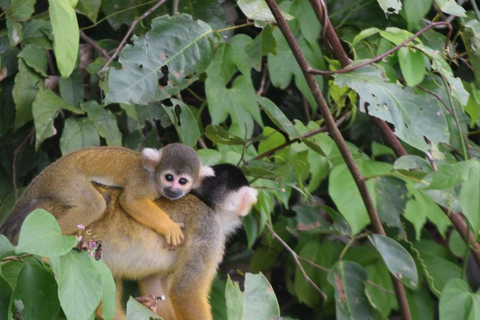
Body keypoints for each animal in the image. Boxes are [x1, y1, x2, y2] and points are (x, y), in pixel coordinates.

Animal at [0, 144, 214, 246]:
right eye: (169, 177)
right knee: (94, 205)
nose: (174, 189)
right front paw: (169, 227)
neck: (154, 177)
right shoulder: (142, 182)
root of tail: (48, 172)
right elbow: (131, 201)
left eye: (183, 181)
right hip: (66, 179)